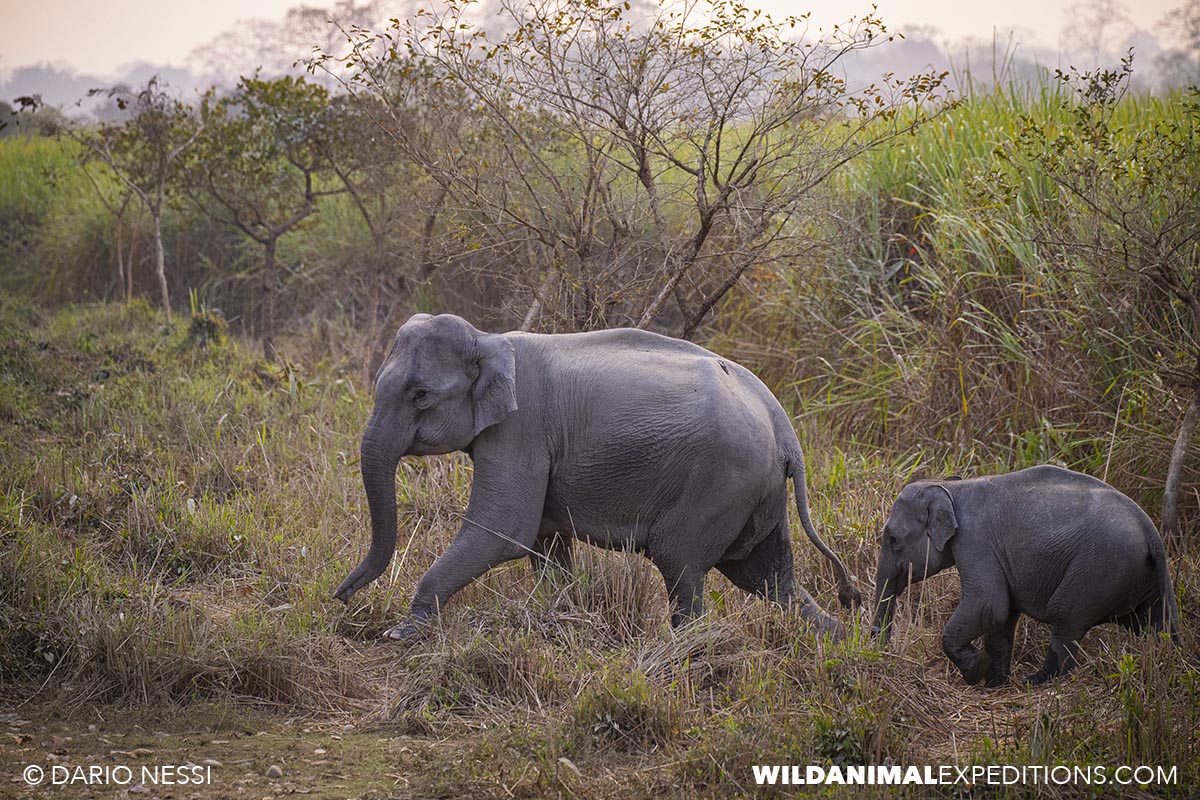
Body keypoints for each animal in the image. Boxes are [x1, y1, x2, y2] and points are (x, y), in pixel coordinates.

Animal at [334, 313, 860, 639]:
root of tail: (786, 432)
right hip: (757, 492)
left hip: (722, 482)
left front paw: (403, 631)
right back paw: (844, 642)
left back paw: (684, 651)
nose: (340, 596)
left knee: (682, 563)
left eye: (420, 395)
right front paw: (560, 614)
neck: (488, 339)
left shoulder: (520, 430)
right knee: (767, 577)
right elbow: (544, 542)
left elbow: (504, 531)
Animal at [870, 465, 1181, 687]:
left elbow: (989, 604)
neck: (952, 487)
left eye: (893, 541)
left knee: (1065, 617)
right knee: (1157, 624)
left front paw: (975, 672)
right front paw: (992, 684)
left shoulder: (976, 543)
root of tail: (1151, 532)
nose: (883, 655)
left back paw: (1035, 681)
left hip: (1099, 569)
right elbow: (1002, 616)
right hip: (1144, 577)